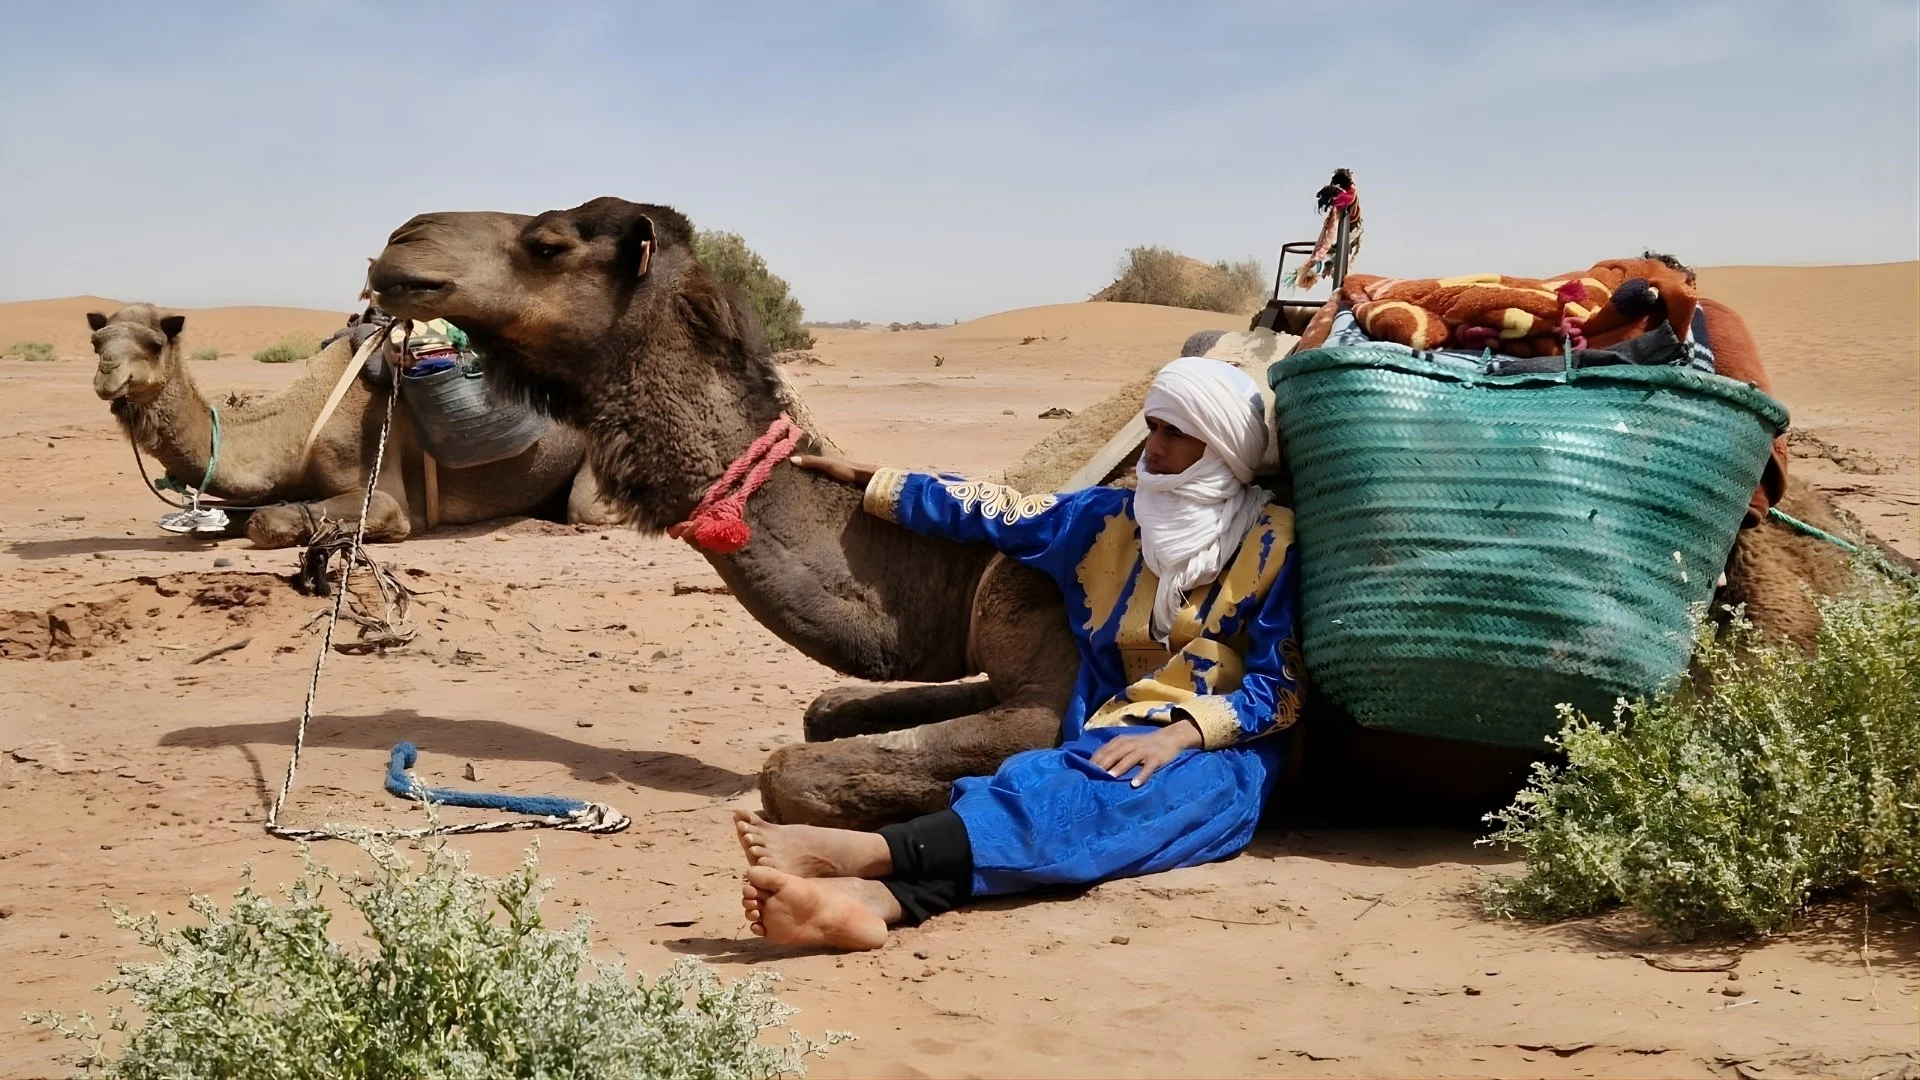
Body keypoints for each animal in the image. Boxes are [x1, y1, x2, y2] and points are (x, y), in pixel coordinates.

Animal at [88, 303, 621, 547]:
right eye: (98, 341)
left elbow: (268, 522)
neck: (298, 424)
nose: (108, 375)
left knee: (586, 508)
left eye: (154, 343)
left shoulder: (379, 481)